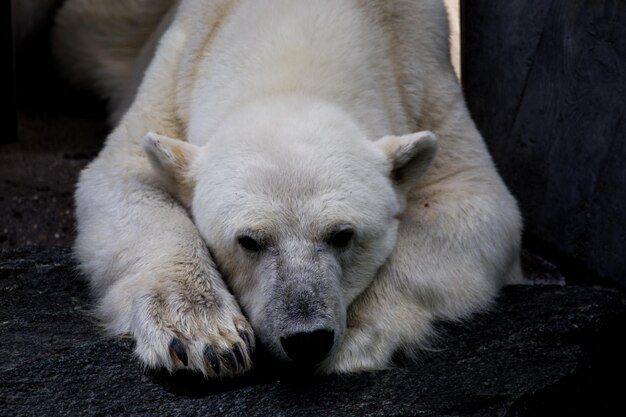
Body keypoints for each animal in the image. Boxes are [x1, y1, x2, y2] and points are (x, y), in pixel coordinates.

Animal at [53, 0, 520, 376]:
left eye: (342, 235)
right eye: (248, 240)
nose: (307, 339)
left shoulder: (422, 75)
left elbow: (476, 202)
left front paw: (357, 336)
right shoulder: (178, 66)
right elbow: (124, 177)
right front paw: (202, 335)